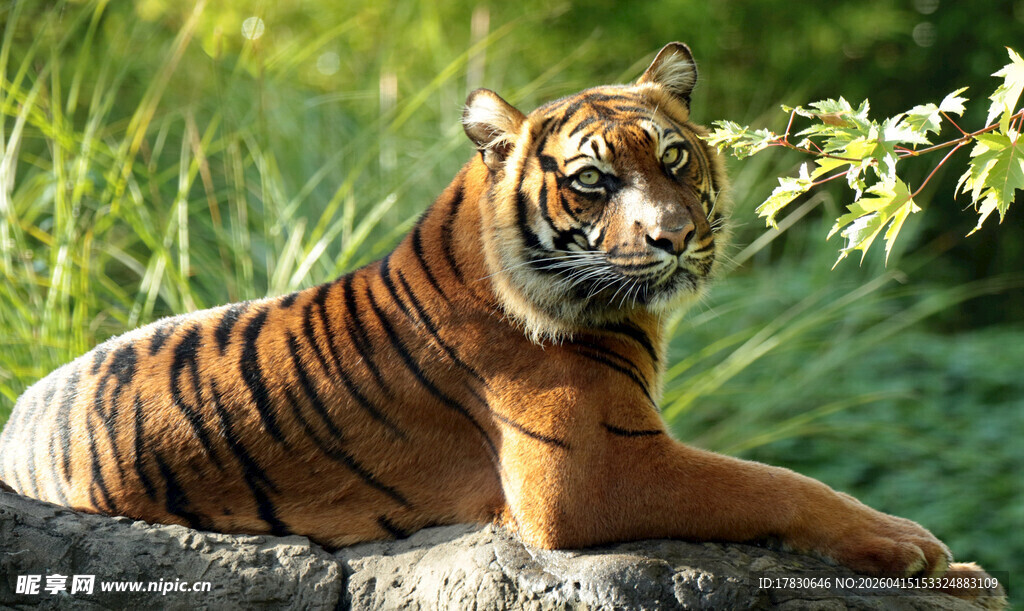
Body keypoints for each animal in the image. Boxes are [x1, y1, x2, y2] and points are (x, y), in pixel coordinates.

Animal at [0, 43, 998, 593]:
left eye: (674, 157)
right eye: (593, 180)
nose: (675, 237)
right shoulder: (590, 472)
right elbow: (774, 480)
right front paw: (918, 548)